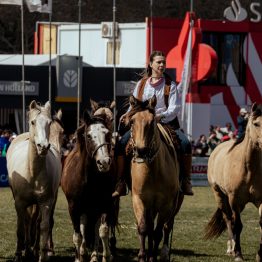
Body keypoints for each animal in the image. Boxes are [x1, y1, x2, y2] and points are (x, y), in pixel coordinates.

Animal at [6, 101, 64, 262]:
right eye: (33, 122)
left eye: (49, 123)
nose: (43, 146)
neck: (32, 172)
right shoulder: (19, 203)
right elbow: (21, 227)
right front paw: (19, 254)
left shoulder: (45, 202)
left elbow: (43, 226)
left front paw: (42, 254)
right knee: (27, 222)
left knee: (36, 222)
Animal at [60, 107, 117, 262]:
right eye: (89, 136)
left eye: (107, 133)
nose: (104, 162)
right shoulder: (73, 207)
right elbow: (77, 236)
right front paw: (78, 257)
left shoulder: (105, 204)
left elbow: (103, 231)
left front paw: (105, 256)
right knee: (83, 228)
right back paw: (83, 252)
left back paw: (93, 255)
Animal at [125, 95, 182, 262]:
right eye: (132, 121)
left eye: (152, 123)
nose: (141, 151)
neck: (153, 171)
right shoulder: (139, 199)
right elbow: (144, 228)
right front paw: (142, 256)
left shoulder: (166, 204)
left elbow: (158, 232)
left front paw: (153, 256)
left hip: (175, 202)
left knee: (167, 226)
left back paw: (162, 253)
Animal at [205, 103, 262, 260]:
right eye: (256, 123)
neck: (248, 168)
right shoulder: (234, 199)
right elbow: (237, 225)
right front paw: (238, 254)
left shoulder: (260, 200)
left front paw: (260, 254)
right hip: (220, 196)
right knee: (228, 219)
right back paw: (231, 248)